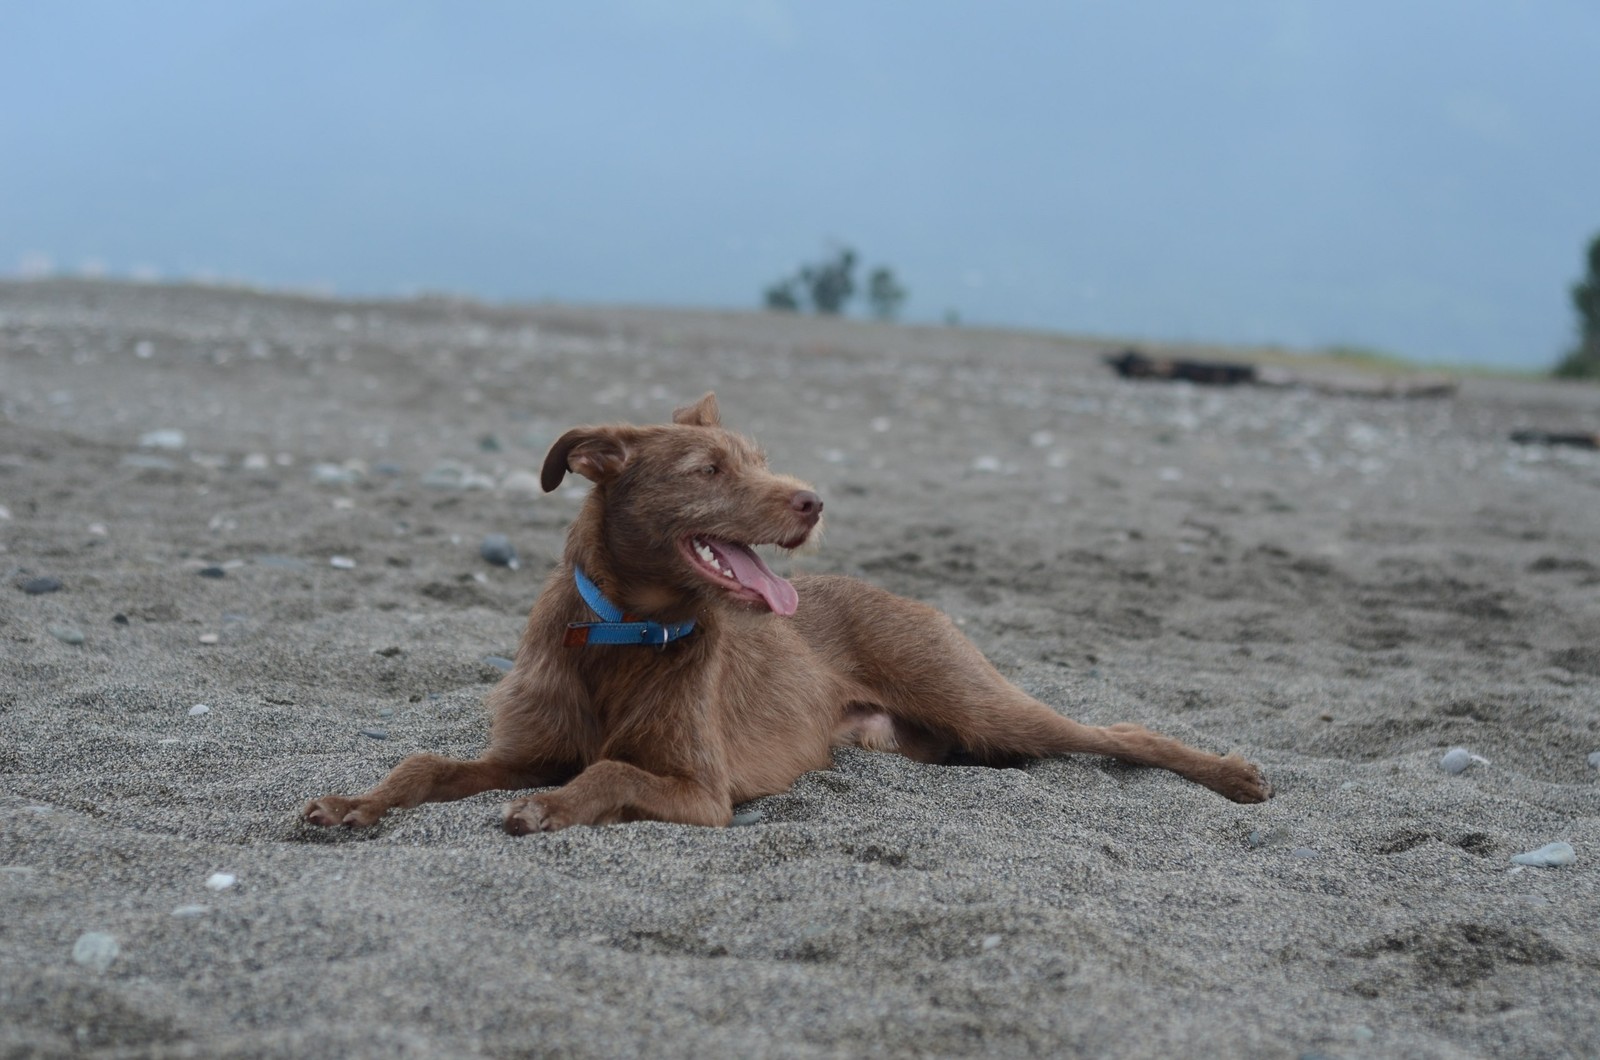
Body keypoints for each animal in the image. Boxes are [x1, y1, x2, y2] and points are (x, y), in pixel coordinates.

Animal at [302, 393, 1260, 832]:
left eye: (761, 460)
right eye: (709, 469)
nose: (813, 501)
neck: (621, 634)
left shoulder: (702, 793)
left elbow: (606, 772)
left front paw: (552, 808)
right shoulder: (525, 750)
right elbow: (425, 762)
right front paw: (355, 802)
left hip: (973, 697)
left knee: (1118, 731)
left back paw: (1230, 773)